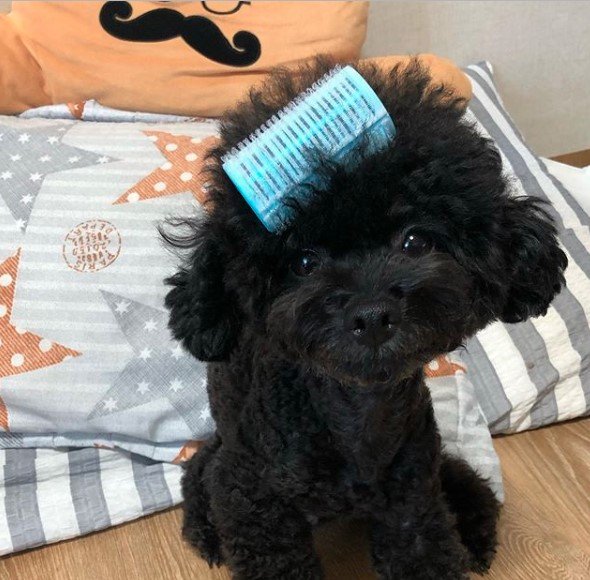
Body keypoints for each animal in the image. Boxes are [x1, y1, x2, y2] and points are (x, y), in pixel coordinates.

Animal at [163, 56, 568, 576]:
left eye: (415, 241)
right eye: (304, 262)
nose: (372, 314)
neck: (355, 415)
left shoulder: (412, 499)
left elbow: (424, 548)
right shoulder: (255, 501)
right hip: (227, 453)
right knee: (202, 470)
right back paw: (207, 531)